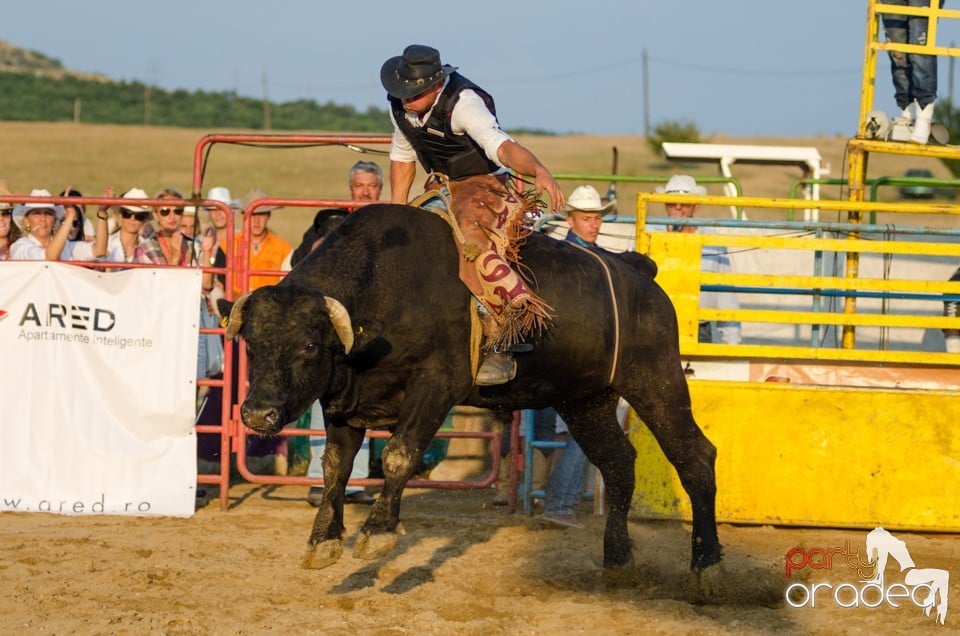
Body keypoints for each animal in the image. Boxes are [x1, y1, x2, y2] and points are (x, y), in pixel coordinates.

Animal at [223, 205, 720, 580]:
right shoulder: (345, 402)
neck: (388, 283)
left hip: (657, 381)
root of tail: (638, 271)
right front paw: (324, 539)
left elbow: (399, 455)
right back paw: (617, 558)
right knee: (618, 463)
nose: (257, 415)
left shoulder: (436, 385)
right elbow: (335, 466)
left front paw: (378, 532)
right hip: (586, 402)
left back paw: (707, 564)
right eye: (251, 342)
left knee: (695, 457)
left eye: (309, 345)